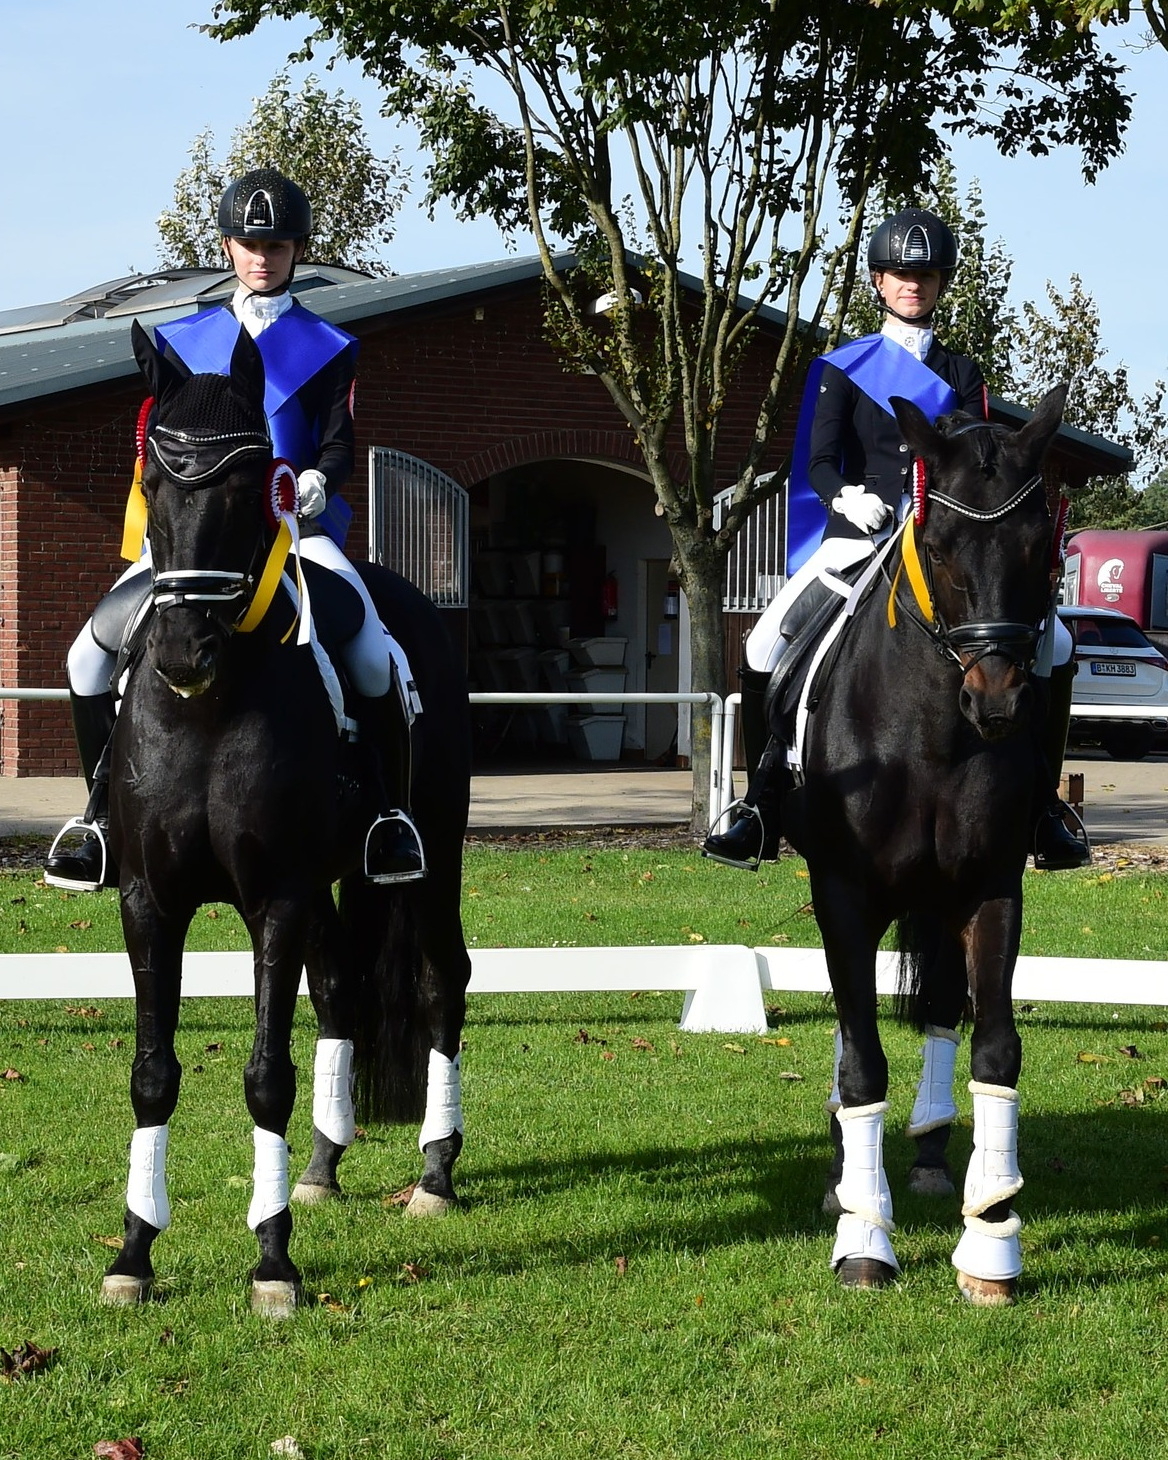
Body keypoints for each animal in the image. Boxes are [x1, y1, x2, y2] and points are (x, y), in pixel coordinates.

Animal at [100, 325, 473, 1319]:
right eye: (154, 484)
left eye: (248, 485)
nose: (182, 653)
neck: (207, 712)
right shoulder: (149, 901)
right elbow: (152, 1075)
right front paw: (134, 1252)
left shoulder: (278, 898)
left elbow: (266, 1076)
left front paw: (272, 1264)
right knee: (343, 990)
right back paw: (320, 1167)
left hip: (430, 858)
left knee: (441, 985)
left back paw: (434, 1173)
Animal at [782, 385, 1068, 1302]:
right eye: (937, 546)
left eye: (1039, 543)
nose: (999, 700)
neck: (933, 731)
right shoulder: (842, 894)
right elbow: (862, 1056)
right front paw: (864, 1237)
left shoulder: (991, 888)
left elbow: (996, 1047)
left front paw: (992, 1237)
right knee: (857, 1029)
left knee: (942, 1008)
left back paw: (937, 1154)